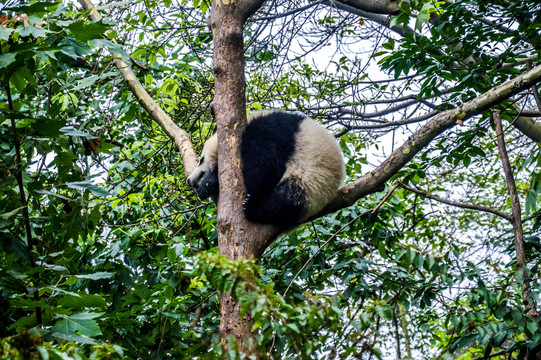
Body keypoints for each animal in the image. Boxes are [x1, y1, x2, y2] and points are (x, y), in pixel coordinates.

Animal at [188, 109, 344, 226]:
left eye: (201, 160)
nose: (189, 181)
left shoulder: (269, 130)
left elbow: (263, 175)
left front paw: (210, 181)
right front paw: (207, 186)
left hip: (309, 181)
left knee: (284, 201)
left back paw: (251, 207)